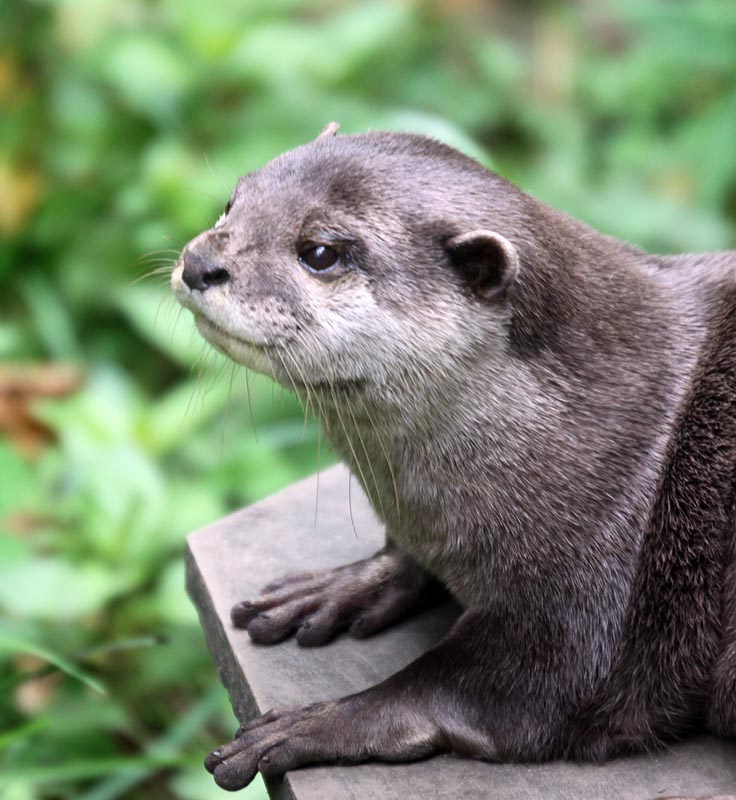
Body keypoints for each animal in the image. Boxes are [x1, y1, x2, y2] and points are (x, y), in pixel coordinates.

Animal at [171, 124, 736, 793]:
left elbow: (498, 691)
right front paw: (344, 585)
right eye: (232, 202)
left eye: (320, 252)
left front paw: (316, 722)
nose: (199, 263)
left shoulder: (602, 595)